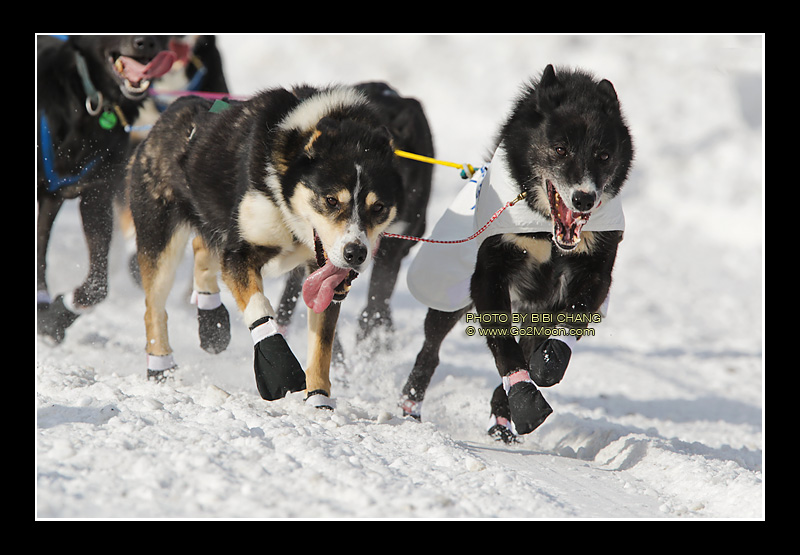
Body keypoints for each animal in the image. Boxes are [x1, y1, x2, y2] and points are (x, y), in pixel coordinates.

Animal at [130, 86, 406, 408]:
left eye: (379, 207)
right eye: (331, 200)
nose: (355, 253)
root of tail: (171, 111)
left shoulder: (321, 279)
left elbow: (322, 345)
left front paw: (319, 401)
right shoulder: (240, 254)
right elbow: (259, 306)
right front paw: (278, 366)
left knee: (203, 248)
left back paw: (211, 320)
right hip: (161, 241)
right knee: (154, 307)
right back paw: (160, 366)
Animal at [404, 64, 636, 444]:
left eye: (603, 155)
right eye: (560, 149)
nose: (584, 198)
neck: (545, 230)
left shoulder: (593, 273)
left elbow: (563, 330)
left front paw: (547, 365)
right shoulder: (490, 275)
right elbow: (505, 349)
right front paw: (524, 397)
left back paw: (503, 417)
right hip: (449, 299)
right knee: (431, 349)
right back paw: (411, 403)